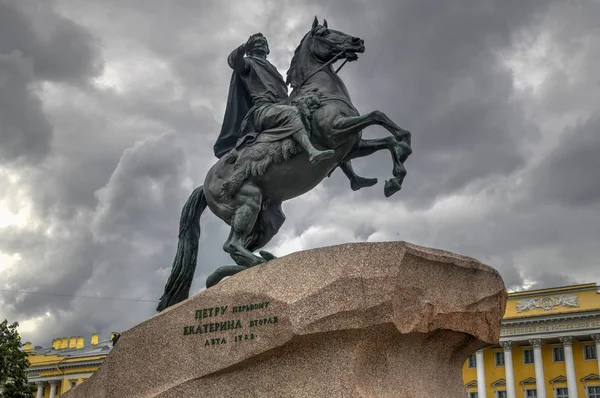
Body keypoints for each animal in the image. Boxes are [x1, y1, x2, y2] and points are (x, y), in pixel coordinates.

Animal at [157, 17, 412, 310]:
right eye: (325, 33)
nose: (357, 42)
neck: (320, 92)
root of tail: (204, 185)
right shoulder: (336, 132)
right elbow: (378, 116)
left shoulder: (351, 147)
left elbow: (387, 138)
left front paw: (395, 177)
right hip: (247, 202)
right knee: (232, 245)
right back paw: (258, 263)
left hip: (270, 218)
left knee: (242, 246)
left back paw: (249, 266)